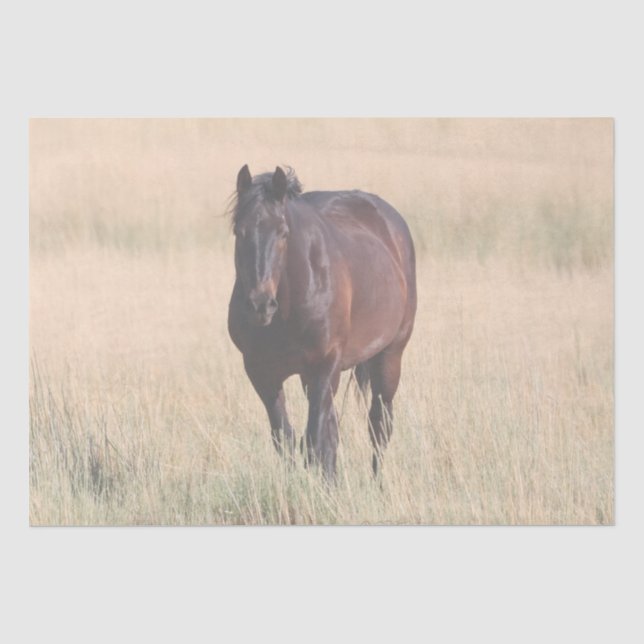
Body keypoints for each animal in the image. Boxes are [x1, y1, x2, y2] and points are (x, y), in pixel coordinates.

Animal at [227, 165, 417, 480]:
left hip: (390, 355)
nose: (260, 304)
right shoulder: (261, 372)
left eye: (283, 233)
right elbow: (286, 437)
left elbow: (315, 438)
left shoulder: (324, 365)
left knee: (379, 424)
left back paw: (377, 483)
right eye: (238, 232)